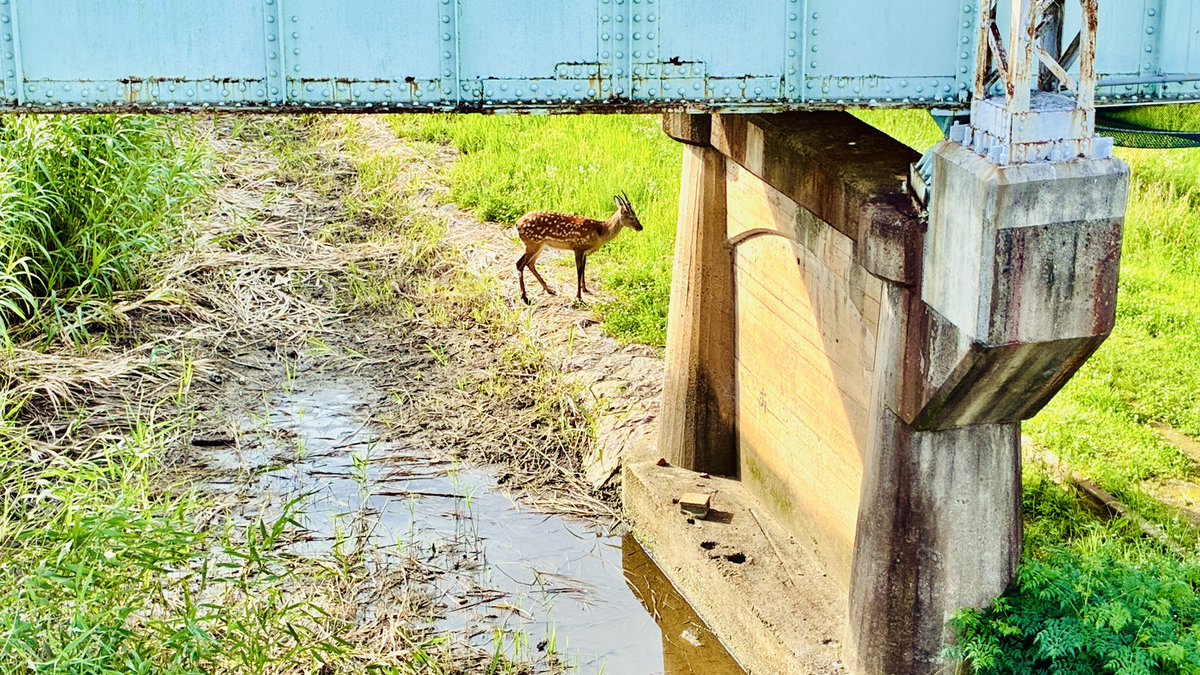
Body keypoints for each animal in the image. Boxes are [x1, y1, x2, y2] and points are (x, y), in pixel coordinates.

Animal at [514, 193, 643, 304]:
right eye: (631, 217)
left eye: (635, 215)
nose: (640, 227)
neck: (600, 232)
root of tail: (517, 224)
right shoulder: (578, 247)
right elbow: (579, 271)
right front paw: (579, 296)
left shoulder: (585, 251)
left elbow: (584, 269)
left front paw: (585, 289)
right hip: (533, 243)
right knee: (520, 264)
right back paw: (525, 297)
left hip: (539, 245)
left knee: (530, 264)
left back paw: (549, 289)